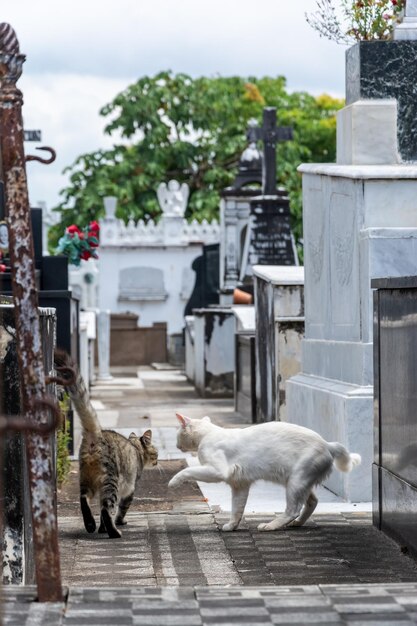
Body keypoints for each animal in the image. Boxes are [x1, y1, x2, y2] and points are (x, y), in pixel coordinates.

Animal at [54, 352, 158, 536]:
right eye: (156, 453)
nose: (157, 461)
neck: (136, 449)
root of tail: (96, 434)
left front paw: (101, 529)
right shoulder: (129, 489)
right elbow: (120, 509)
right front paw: (119, 523)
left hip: (86, 478)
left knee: (85, 500)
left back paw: (90, 525)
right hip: (110, 481)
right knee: (106, 508)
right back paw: (114, 533)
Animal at [167, 412, 360, 528]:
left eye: (177, 435)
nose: (176, 445)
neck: (208, 434)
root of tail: (327, 444)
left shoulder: (218, 471)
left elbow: (187, 471)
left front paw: (173, 482)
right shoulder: (240, 485)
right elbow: (237, 508)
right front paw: (232, 526)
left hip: (296, 482)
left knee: (293, 509)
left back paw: (271, 525)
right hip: (300, 482)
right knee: (312, 502)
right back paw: (297, 523)